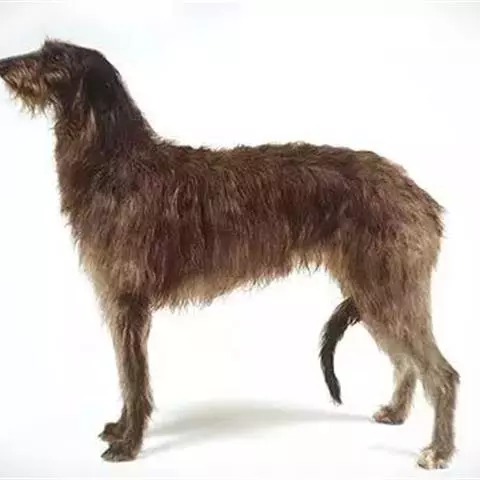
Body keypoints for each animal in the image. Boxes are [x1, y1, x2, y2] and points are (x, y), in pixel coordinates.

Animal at [0, 39, 459, 468]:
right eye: (43, 50)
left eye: (54, 58)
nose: (3, 64)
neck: (116, 163)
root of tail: (421, 197)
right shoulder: (121, 304)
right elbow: (127, 378)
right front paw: (121, 429)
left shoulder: (128, 302)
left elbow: (134, 380)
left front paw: (129, 444)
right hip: (376, 293)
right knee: (406, 362)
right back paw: (396, 412)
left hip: (386, 288)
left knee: (442, 374)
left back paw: (438, 450)